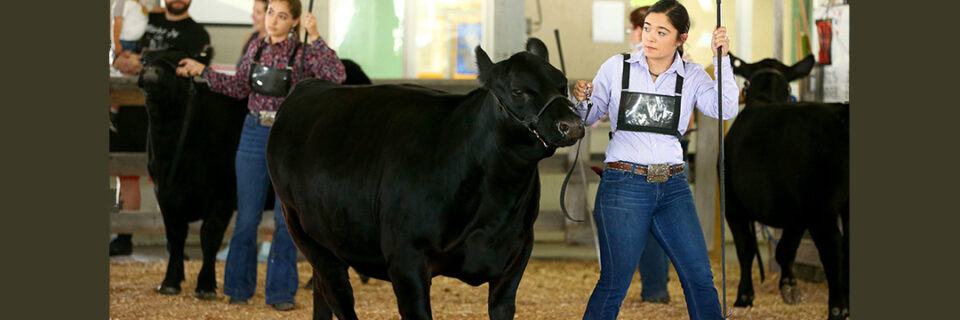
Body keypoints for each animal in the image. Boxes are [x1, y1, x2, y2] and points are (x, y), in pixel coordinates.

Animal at [137, 48, 248, 298]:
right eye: (145, 59)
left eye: (178, 60)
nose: (152, 72)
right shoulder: (164, 193)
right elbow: (175, 237)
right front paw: (170, 281)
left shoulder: (225, 194)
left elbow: (209, 236)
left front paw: (206, 284)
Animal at [264, 38, 584, 318]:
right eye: (518, 91)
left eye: (563, 84)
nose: (571, 125)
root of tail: (311, 85)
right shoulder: (406, 260)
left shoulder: (516, 257)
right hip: (305, 233)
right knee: (339, 295)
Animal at [724, 53, 852, 318]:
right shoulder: (796, 213)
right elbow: (786, 248)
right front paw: (790, 286)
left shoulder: (733, 204)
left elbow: (746, 249)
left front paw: (744, 296)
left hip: (821, 208)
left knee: (833, 250)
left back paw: (837, 308)